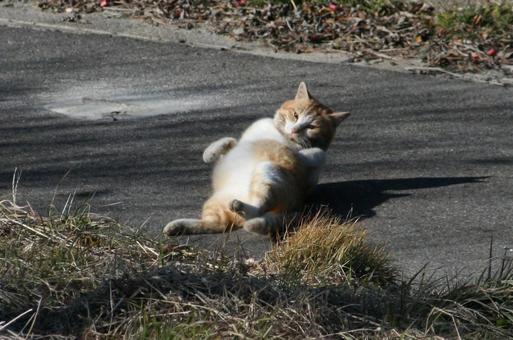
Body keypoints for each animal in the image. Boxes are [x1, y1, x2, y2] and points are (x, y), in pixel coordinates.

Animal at [164, 81, 348, 236]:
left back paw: (241, 208)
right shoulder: (239, 142)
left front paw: (299, 152)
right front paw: (211, 153)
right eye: (295, 115)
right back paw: (176, 226)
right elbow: (227, 142)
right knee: (218, 225)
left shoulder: (310, 164)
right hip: (214, 204)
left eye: (311, 126)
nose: (295, 130)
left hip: (266, 171)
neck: (279, 134)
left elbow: (314, 154)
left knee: (256, 210)